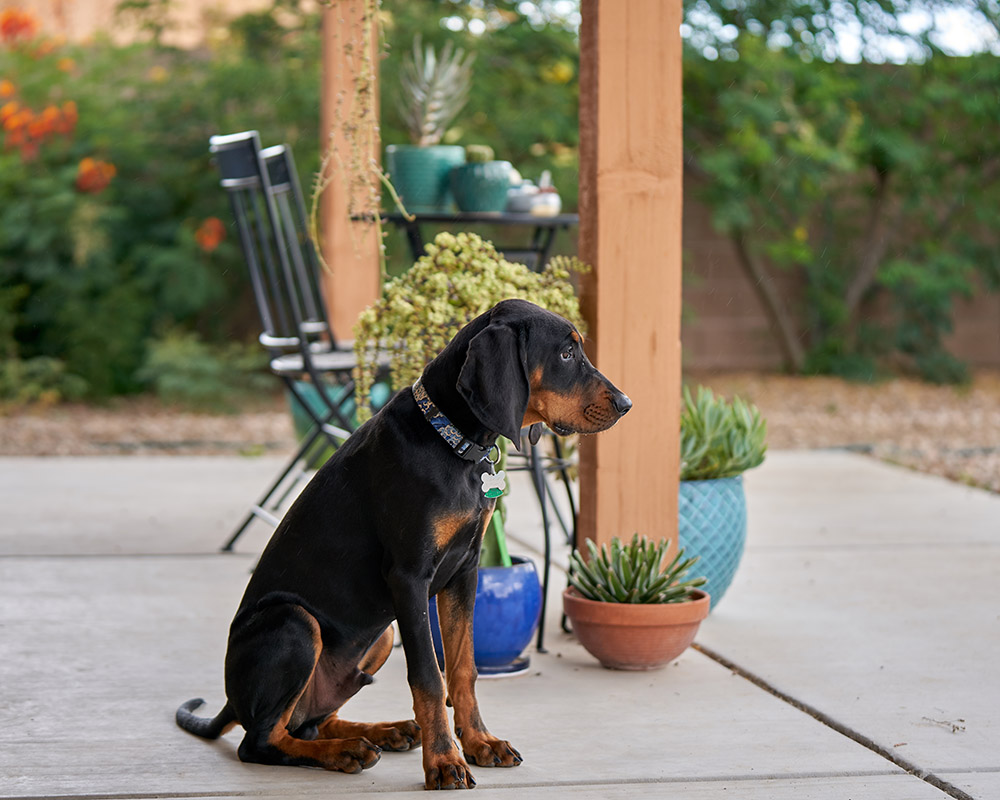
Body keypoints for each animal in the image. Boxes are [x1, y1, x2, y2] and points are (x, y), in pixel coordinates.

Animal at [178, 298, 632, 788]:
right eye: (566, 354)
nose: (627, 404)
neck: (452, 440)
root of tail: (231, 699)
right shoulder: (409, 577)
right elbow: (429, 677)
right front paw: (445, 762)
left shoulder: (465, 570)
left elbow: (463, 668)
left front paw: (479, 743)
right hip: (295, 621)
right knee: (261, 741)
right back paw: (346, 751)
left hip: (379, 635)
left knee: (308, 721)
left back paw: (383, 732)